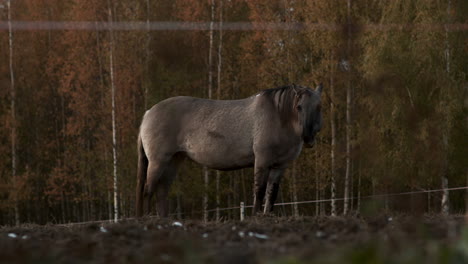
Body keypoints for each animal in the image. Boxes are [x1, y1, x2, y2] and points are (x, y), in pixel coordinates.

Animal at [135, 83, 322, 218]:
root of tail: (148, 113)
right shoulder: (262, 162)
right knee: (148, 190)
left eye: (318, 107)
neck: (278, 117)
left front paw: (267, 215)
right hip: (158, 161)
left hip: (174, 160)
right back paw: (148, 218)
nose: (308, 137)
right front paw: (256, 216)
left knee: (161, 191)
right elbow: (259, 190)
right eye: (299, 107)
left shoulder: (280, 166)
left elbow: (271, 193)